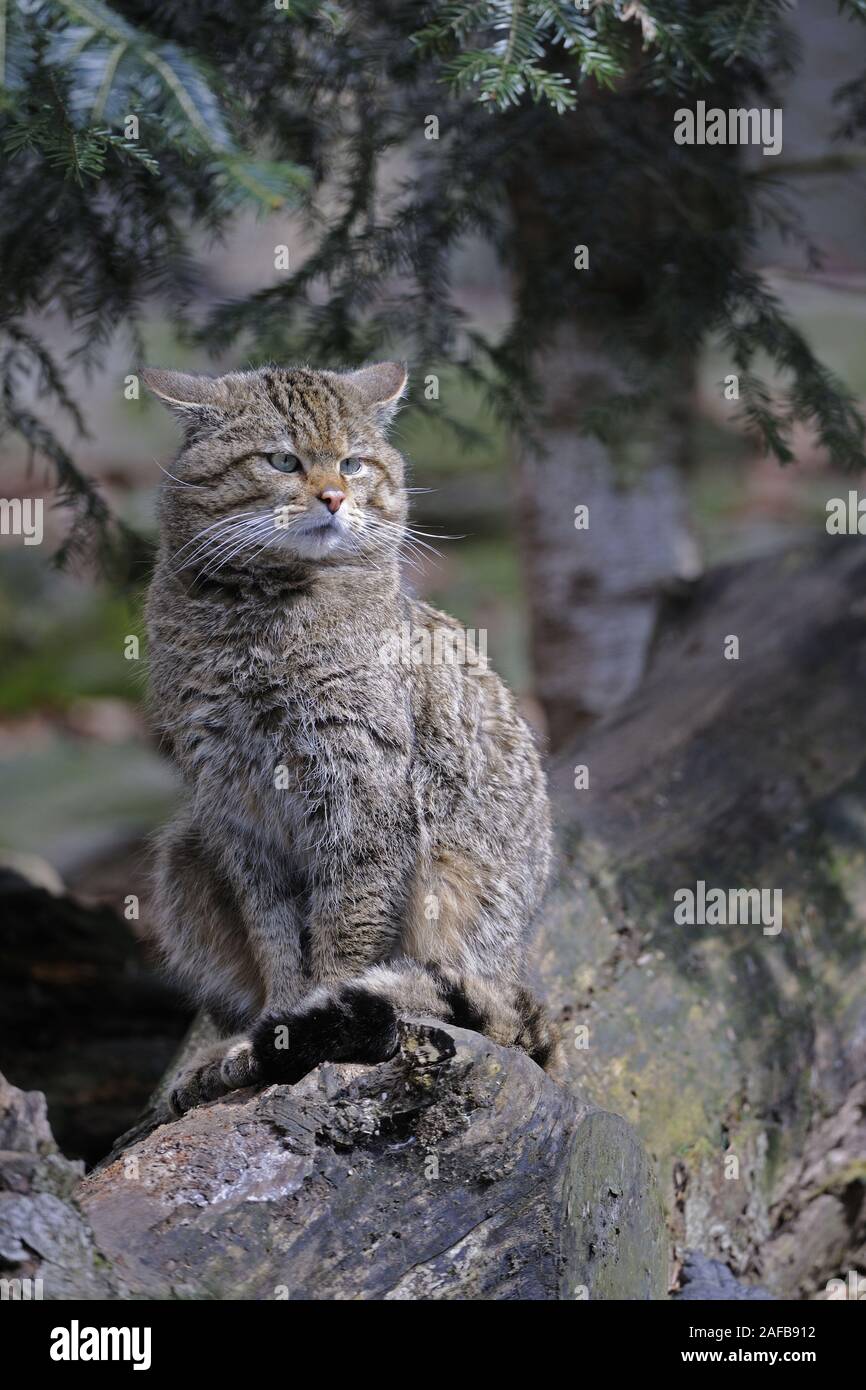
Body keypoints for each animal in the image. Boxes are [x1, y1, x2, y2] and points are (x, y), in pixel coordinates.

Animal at [141, 361, 556, 1117]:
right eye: (283, 460)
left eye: (353, 463)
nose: (333, 496)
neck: (257, 622)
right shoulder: (234, 808)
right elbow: (274, 938)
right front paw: (272, 1023)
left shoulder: (361, 790)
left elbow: (346, 932)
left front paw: (312, 1020)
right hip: (185, 853)